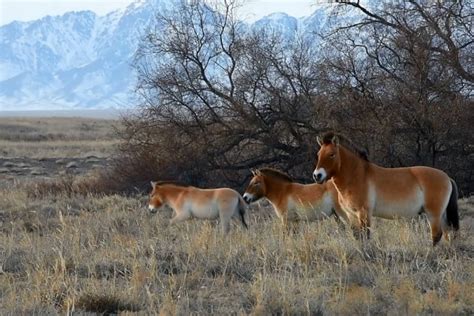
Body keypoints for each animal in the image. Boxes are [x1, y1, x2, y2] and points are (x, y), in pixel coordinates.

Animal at [312, 132, 460, 246]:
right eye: (318, 154)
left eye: (332, 154)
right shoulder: (351, 215)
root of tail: (447, 177)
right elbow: (357, 236)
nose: (317, 175)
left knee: (437, 235)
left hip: (433, 214)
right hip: (441, 215)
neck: (357, 175)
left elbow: (365, 235)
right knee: (447, 233)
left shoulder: (364, 213)